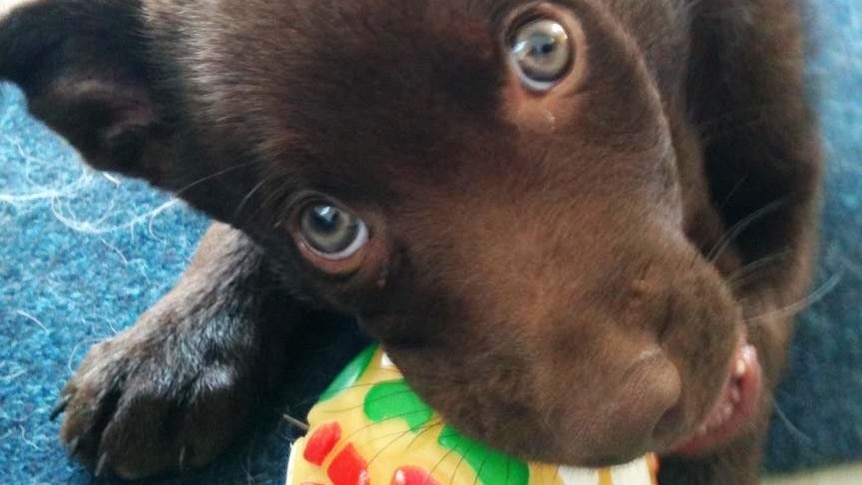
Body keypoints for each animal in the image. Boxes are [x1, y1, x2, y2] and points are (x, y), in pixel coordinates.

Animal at [0, 0, 824, 482]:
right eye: (325, 225)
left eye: (544, 47)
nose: (633, 413)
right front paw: (174, 343)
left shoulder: (787, 169)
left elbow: (764, 331)